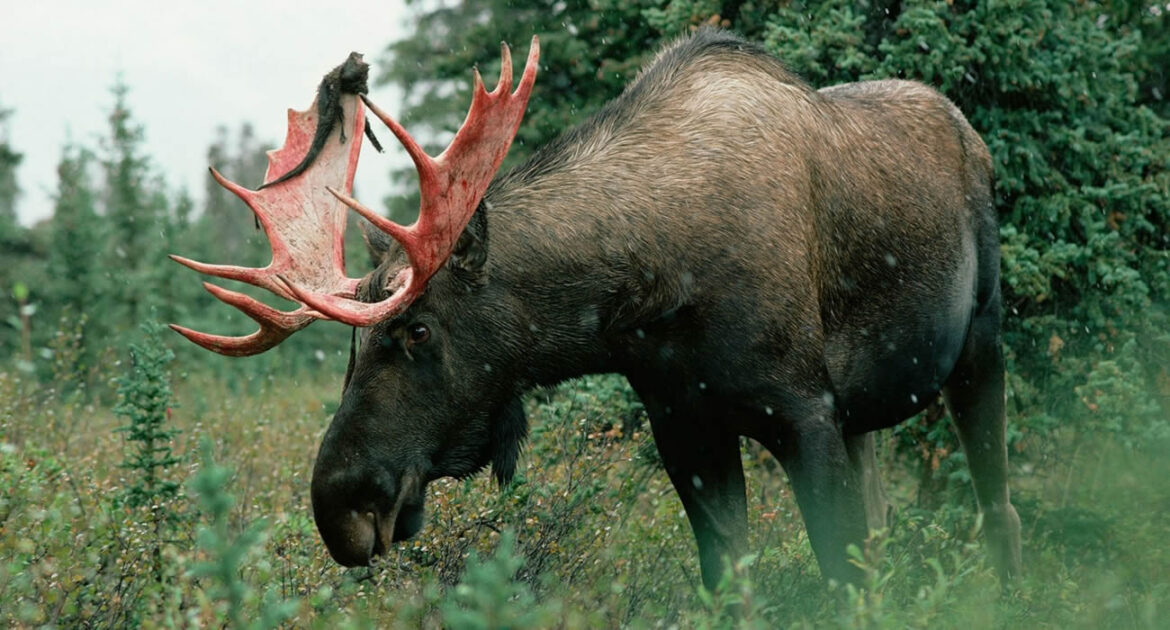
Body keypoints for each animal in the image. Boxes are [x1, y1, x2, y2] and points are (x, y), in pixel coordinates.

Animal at [169, 29, 1020, 587]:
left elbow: (835, 577)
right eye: (349, 349)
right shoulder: (686, 425)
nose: (340, 505)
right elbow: (731, 577)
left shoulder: (802, 411)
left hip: (978, 344)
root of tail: (970, 131)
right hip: (864, 420)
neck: (647, 299)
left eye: (417, 329)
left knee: (997, 508)